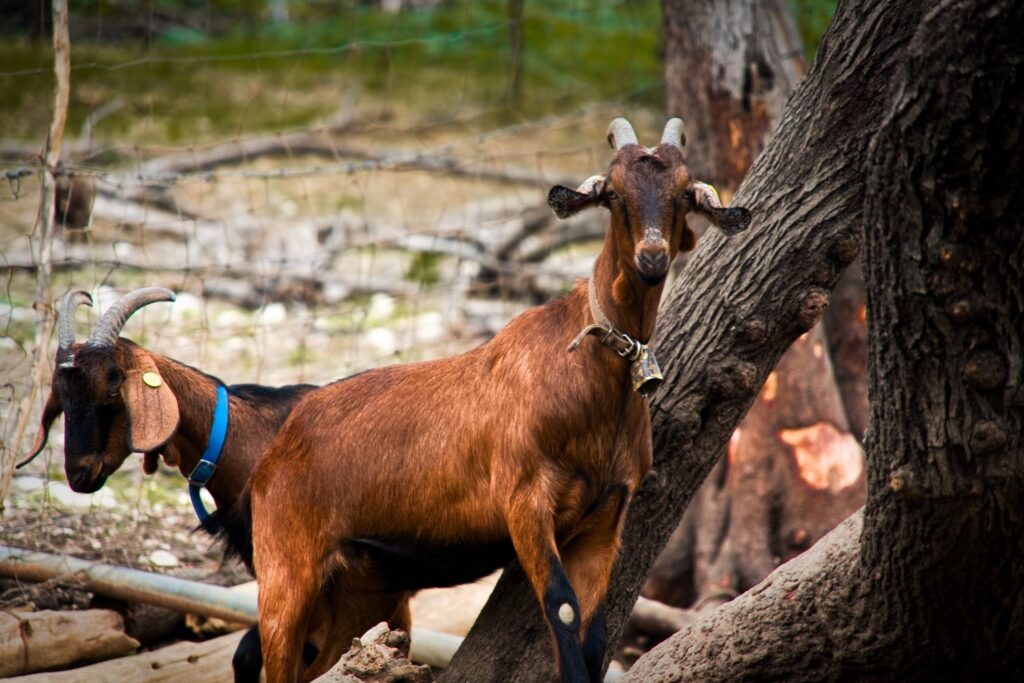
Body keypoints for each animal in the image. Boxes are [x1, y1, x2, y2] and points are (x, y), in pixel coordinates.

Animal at [238, 118, 750, 682]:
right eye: (613, 193)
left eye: (684, 193)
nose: (653, 259)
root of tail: (273, 455)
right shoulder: (524, 498)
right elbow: (563, 611)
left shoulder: (607, 513)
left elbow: (593, 632)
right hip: (287, 568)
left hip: (353, 592)